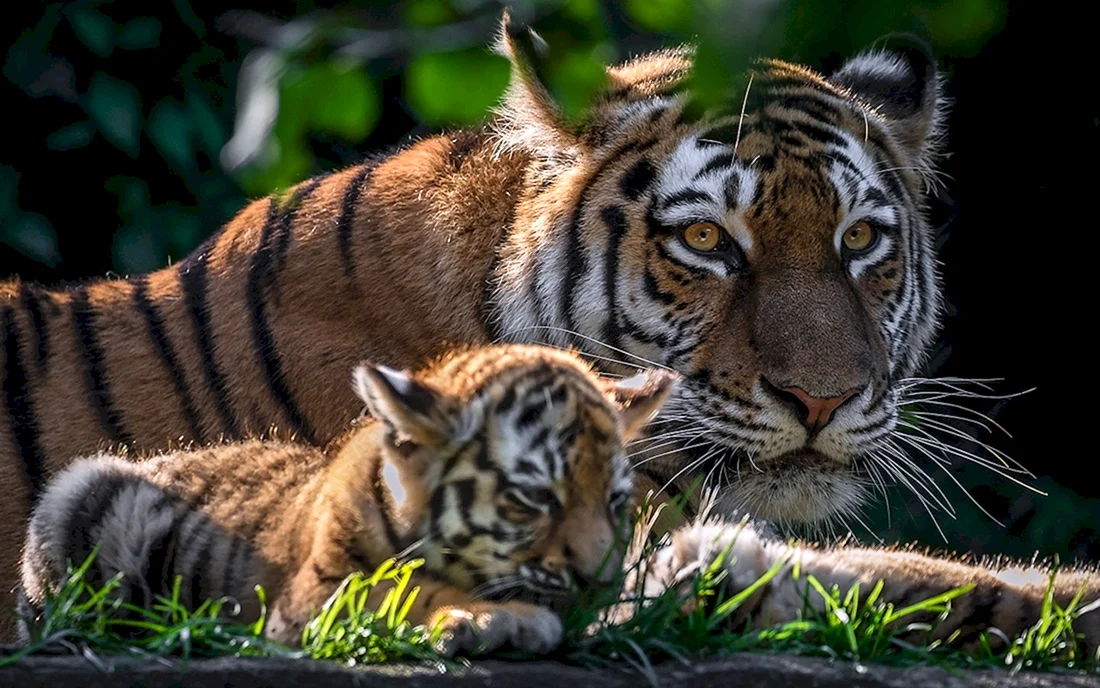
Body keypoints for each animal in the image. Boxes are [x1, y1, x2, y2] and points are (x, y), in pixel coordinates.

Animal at [19, 343, 676, 652]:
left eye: (615, 502)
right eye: (535, 497)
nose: (597, 582)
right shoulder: (313, 594)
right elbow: (401, 589)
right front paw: (499, 619)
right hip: (78, 492)